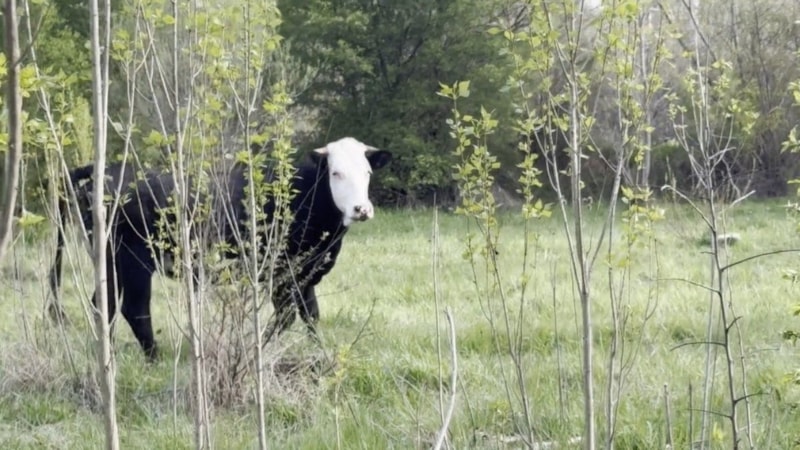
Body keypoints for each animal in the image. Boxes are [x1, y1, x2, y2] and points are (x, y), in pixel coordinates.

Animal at [49, 137, 392, 360]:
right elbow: (286, 316)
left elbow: (311, 315)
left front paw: (318, 351)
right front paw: (258, 348)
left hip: (111, 262)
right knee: (135, 307)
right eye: (335, 173)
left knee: (102, 303)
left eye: (367, 173)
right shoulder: (282, 272)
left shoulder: (305, 273)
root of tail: (112, 169)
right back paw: (153, 357)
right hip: (134, 260)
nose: (362, 209)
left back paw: (106, 352)